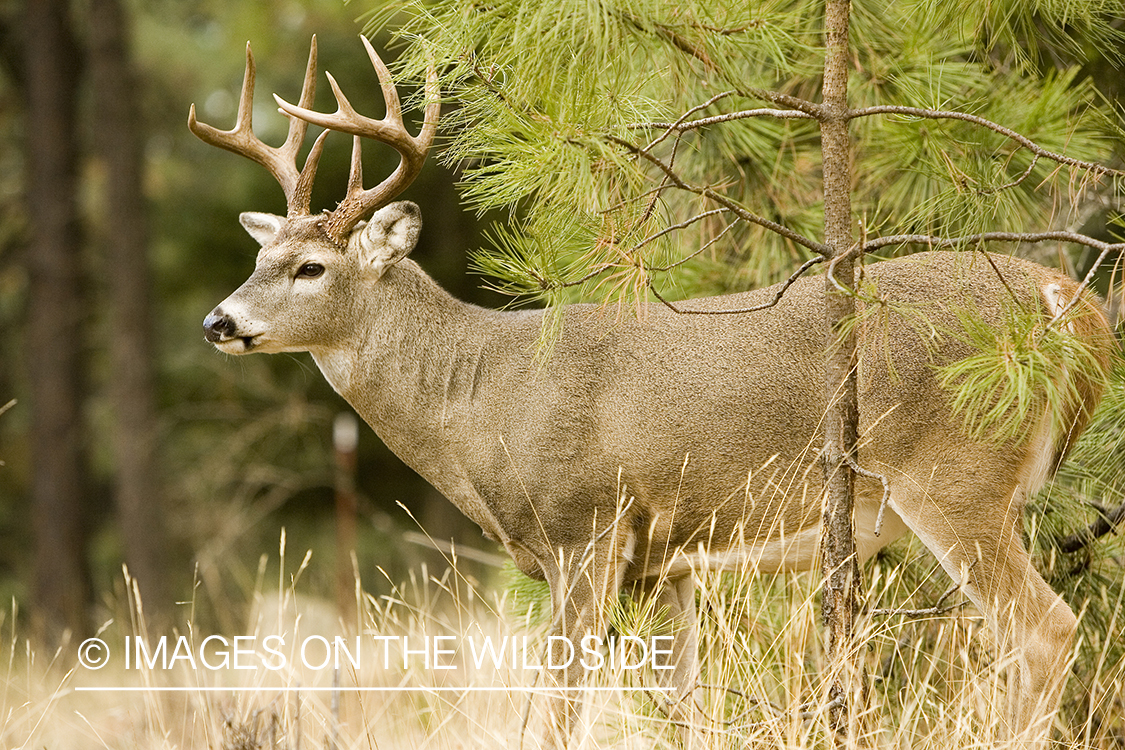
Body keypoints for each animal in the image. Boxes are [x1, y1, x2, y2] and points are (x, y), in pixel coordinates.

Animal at [195, 35, 1116, 750]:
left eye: (310, 268)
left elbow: (557, 708)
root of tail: (1066, 303)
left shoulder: (585, 525)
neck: (481, 397)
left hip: (953, 475)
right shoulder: (668, 560)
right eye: (259, 256)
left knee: (1044, 630)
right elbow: (686, 706)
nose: (217, 320)